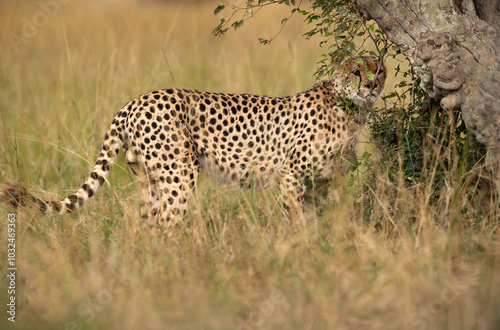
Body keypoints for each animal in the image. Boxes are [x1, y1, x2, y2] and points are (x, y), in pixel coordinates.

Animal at [0, 55, 386, 228]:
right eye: (357, 71)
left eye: (379, 70)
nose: (371, 86)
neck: (350, 108)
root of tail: (134, 101)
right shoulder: (290, 175)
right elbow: (297, 217)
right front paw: (301, 249)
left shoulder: (325, 181)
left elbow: (321, 215)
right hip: (180, 177)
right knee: (164, 227)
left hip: (149, 179)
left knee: (147, 226)